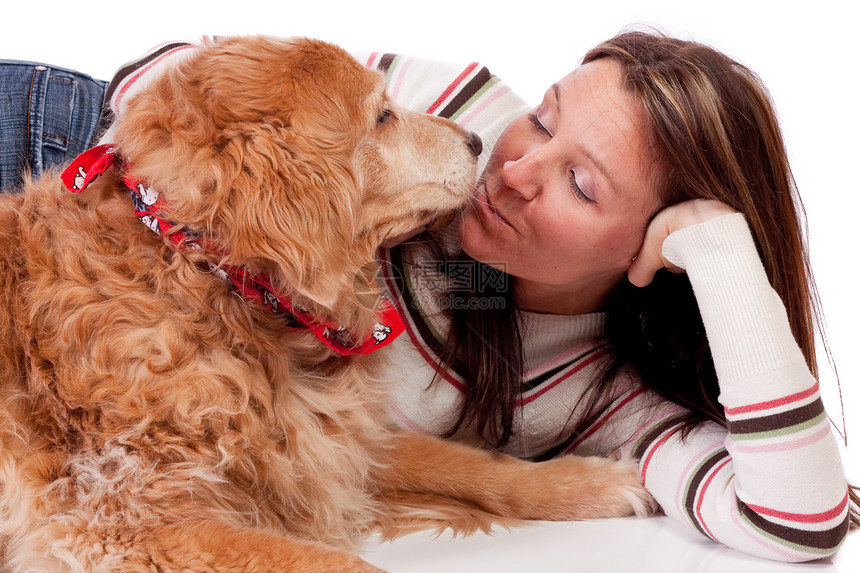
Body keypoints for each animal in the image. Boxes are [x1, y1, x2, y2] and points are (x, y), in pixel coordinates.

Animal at [0, 36, 648, 572]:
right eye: (382, 115)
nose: (478, 140)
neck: (210, 280)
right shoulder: (129, 521)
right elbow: (338, 563)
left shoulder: (326, 440)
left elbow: (471, 463)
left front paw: (585, 482)